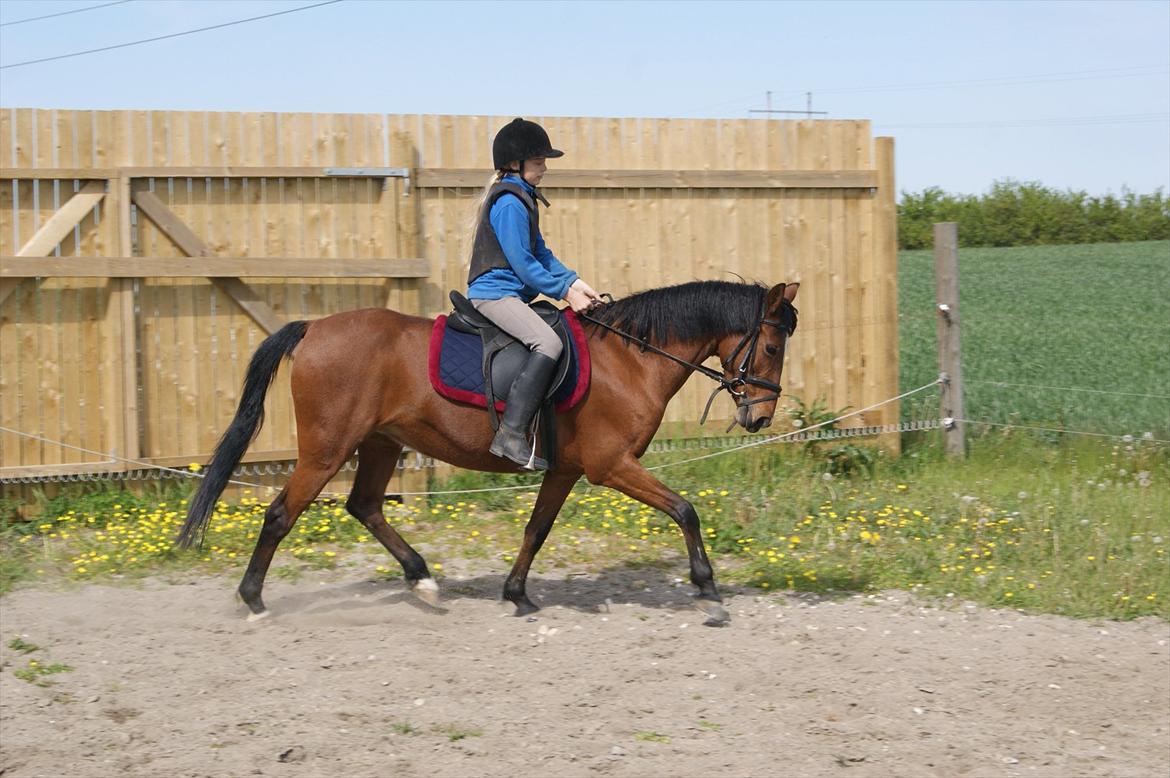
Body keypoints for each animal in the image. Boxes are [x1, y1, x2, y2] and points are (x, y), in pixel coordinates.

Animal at [177, 279, 800, 627]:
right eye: (771, 346)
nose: (760, 417)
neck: (630, 358)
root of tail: (314, 329)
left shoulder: (566, 471)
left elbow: (536, 530)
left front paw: (517, 595)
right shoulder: (611, 467)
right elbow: (685, 510)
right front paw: (709, 591)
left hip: (380, 443)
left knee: (365, 507)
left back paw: (422, 580)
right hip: (326, 451)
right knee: (281, 514)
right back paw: (254, 600)